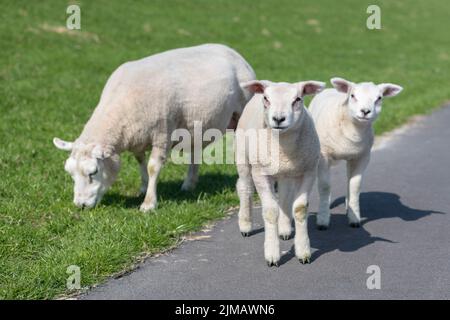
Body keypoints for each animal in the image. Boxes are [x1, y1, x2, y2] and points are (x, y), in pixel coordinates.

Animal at [51, 43, 256, 211]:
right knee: (195, 152)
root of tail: (232, 51)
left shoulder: (162, 134)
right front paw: (142, 188)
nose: (81, 205)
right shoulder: (137, 137)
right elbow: (140, 161)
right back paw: (189, 185)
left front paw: (149, 204)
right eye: (70, 173)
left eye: (93, 172)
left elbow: (152, 167)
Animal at [236, 79, 326, 264]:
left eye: (298, 99)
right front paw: (272, 254)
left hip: (286, 173)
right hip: (243, 158)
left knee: (285, 196)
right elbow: (270, 211)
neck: (283, 146)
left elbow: (299, 208)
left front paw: (303, 252)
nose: (278, 119)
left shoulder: (308, 171)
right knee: (245, 188)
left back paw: (284, 229)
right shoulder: (260, 173)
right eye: (266, 98)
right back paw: (245, 225)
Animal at [312, 77, 402, 230]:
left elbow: (355, 186)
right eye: (353, 96)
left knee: (348, 179)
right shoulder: (324, 156)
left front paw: (354, 218)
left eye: (379, 98)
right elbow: (325, 186)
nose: (365, 111)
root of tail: (330, 89)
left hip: (352, 158)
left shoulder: (362, 157)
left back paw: (348, 207)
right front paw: (323, 219)